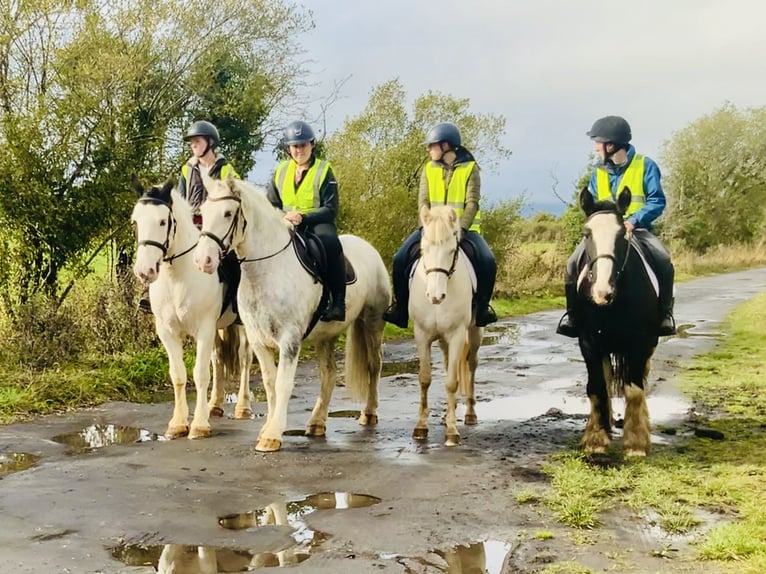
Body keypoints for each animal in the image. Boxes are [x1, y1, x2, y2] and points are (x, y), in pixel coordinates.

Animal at [130, 181, 254, 440]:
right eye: (135, 222)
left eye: (162, 221)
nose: (145, 271)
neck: (177, 277)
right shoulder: (167, 332)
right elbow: (178, 375)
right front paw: (178, 424)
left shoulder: (204, 329)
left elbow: (200, 373)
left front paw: (199, 425)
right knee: (218, 359)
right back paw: (215, 406)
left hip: (242, 324)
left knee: (244, 359)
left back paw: (242, 407)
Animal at [195, 178, 392, 452]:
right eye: (202, 213)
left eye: (227, 213)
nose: (203, 260)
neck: (266, 269)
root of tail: (368, 248)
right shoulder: (258, 340)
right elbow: (270, 383)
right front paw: (268, 428)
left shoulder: (289, 340)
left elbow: (283, 384)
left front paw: (272, 435)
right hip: (325, 337)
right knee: (329, 374)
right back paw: (317, 423)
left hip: (372, 322)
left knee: (374, 366)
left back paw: (368, 413)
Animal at [412, 205, 484, 448]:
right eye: (423, 249)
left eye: (452, 250)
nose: (435, 296)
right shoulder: (422, 335)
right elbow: (425, 379)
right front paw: (420, 427)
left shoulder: (456, 335)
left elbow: (452, 382)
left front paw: (452, 432)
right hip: (443, 340)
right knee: (446, 364)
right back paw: (446, 414)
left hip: (473, 334)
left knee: (471, 365)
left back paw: (470, 413)